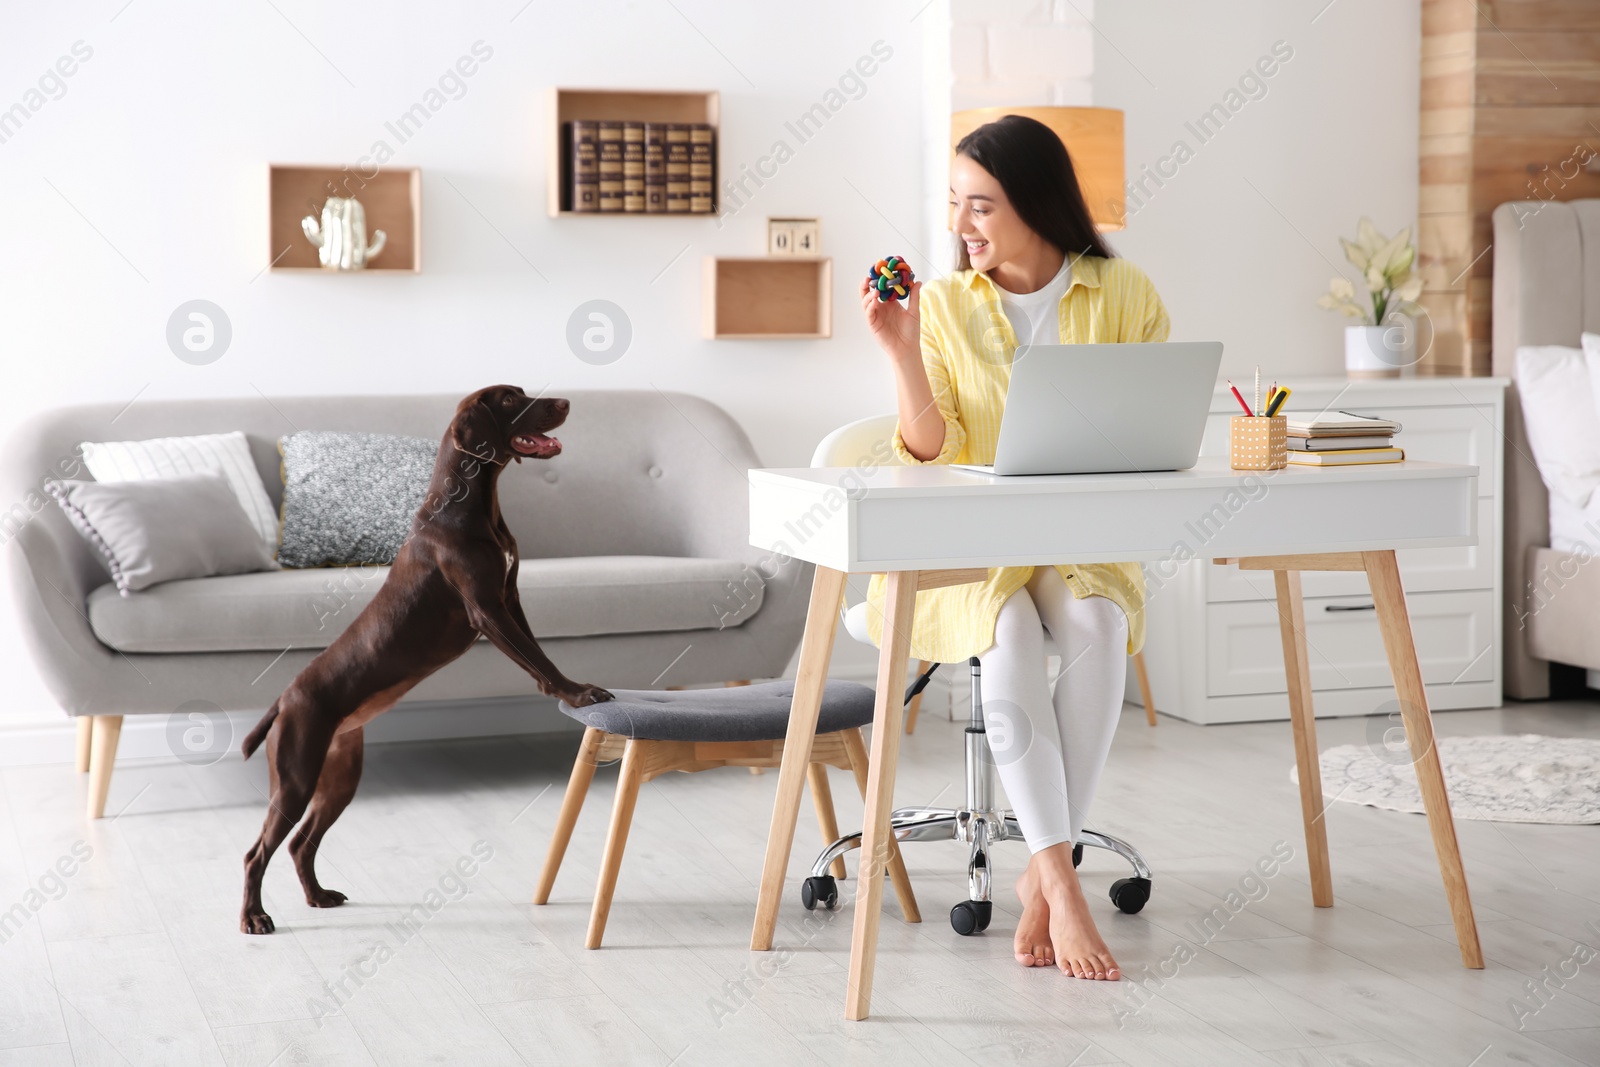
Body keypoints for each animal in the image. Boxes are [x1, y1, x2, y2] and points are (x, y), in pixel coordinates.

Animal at [236, 385, 611, 934]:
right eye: (509, 399)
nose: (564, 402)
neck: (473, 507)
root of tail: (283, 700)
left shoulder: (511, 597)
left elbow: (537, 649)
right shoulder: (488, 610)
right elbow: (538, 660)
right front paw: (578, 693)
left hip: (338, 777)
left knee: (302, 843)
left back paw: (318, 896)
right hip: (295, 776)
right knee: (256, 852)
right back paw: (255, 917)